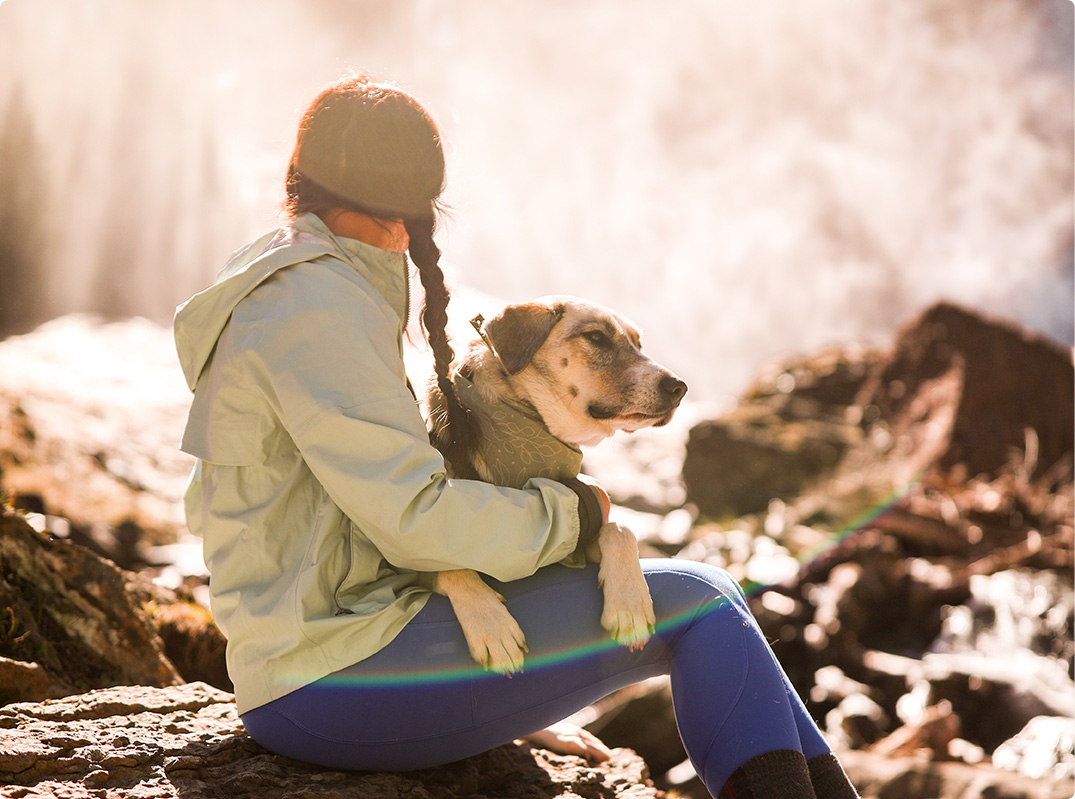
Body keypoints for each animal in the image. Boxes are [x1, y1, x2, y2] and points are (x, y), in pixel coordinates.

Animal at [427, 296, 688, 671]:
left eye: (639, 344)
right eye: (596, 337)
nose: (678, 387)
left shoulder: (574, 537)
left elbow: (621, 530)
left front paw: (630, 605)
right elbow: (449, 562)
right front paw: (491, 626)